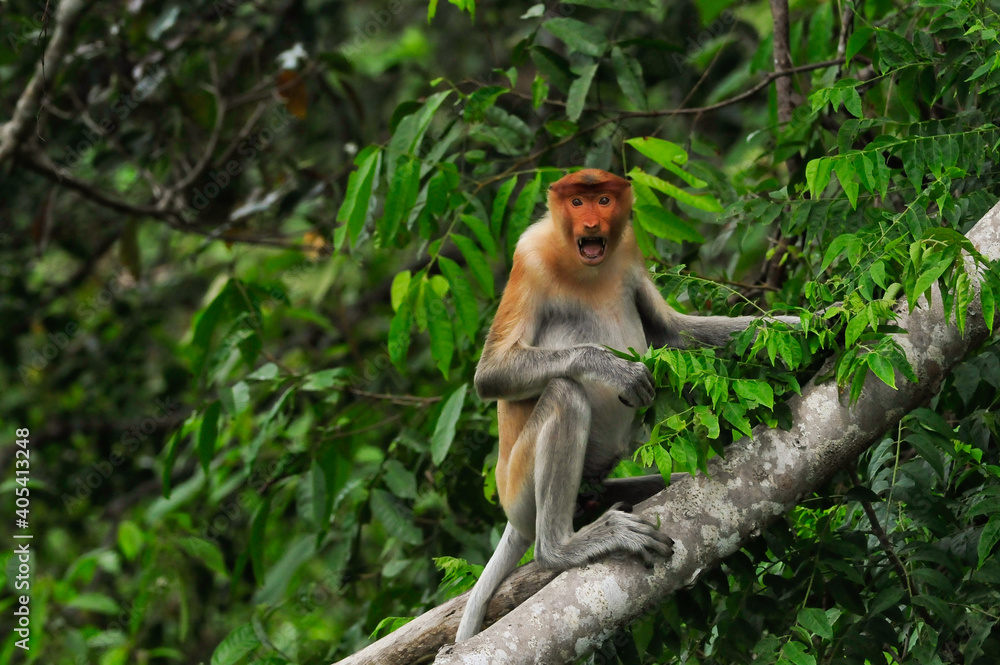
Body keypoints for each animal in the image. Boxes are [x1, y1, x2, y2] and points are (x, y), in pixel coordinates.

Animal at [454, 169, 801, 642]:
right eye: (576, 202)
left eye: (603, 199)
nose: (591, 225)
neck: (586, 266)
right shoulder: (530, 258)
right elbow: (491, 373)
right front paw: (618, 371)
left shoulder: (630, 250)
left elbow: (671, 331)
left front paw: (817, 324)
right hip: (520, 489)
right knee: (565, 394)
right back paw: (563, 547)